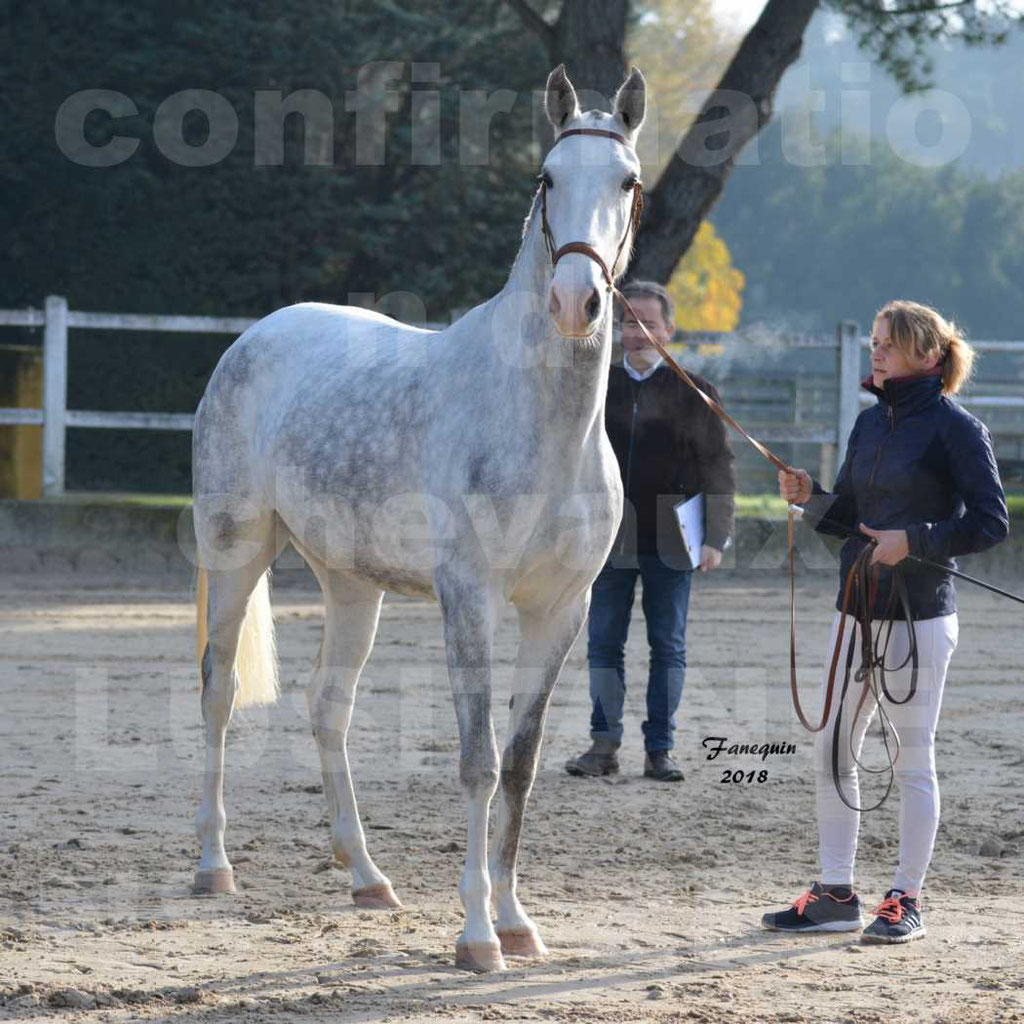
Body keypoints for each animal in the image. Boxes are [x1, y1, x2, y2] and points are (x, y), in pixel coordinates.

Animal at [192, 64, 647, 974]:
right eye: (547, 178)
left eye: (627, 182)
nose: (575, 301)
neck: (543, 422)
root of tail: (252, 340)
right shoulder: (467, 597)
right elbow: (477, 763)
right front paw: (475, 936)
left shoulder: (562, 609)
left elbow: (520, 765)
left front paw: (517, 922)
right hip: (236, 553)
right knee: (219, 690)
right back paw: (214, 867)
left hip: (349, 585)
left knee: (328, 707)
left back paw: (367, 876)